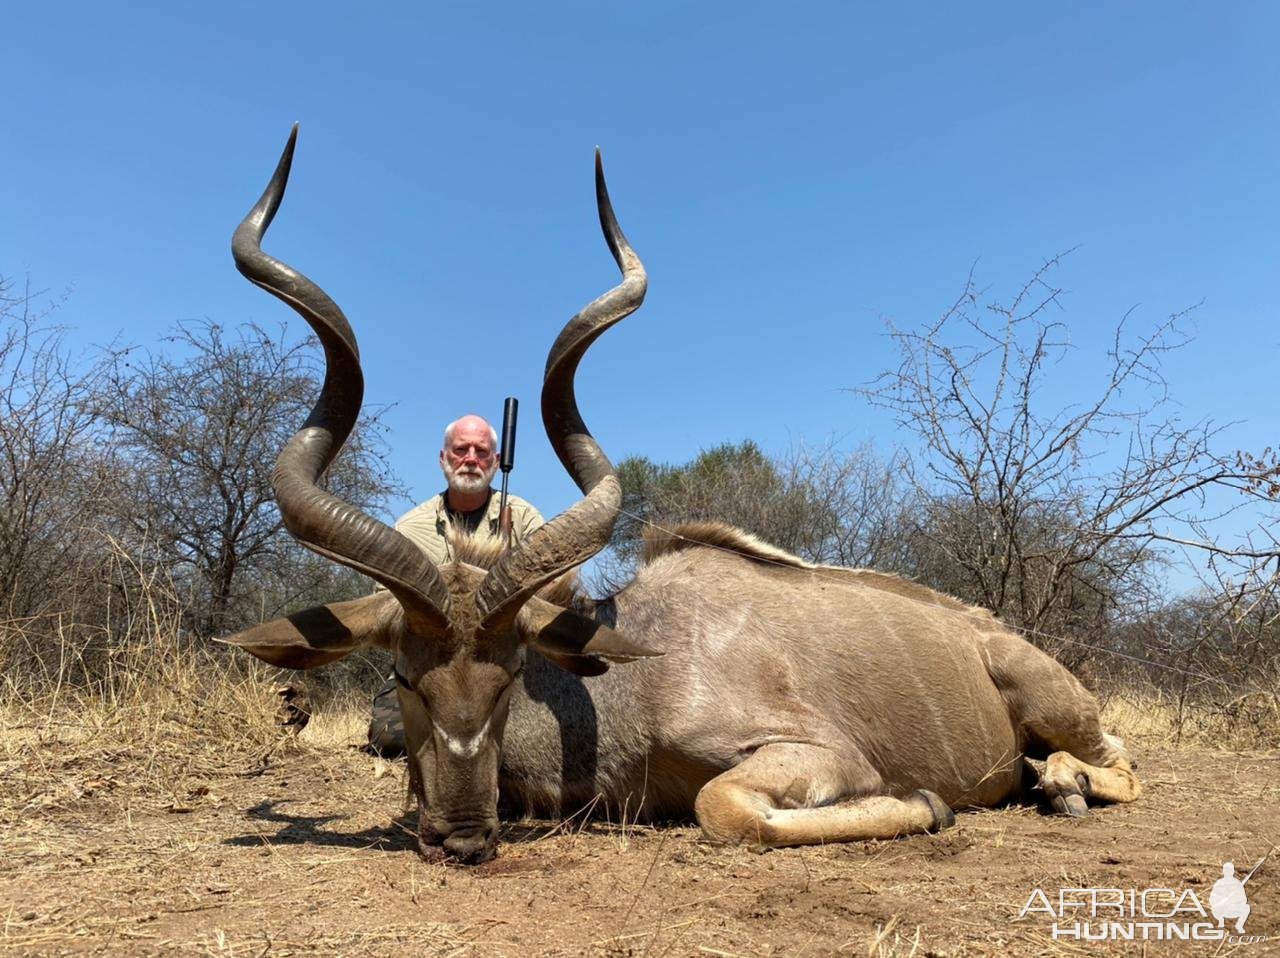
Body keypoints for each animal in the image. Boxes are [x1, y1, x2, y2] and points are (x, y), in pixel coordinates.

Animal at [222, 123, 1141, 865]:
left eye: (512, 674)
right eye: (403, 677)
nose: (462, 839)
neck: (633, 688)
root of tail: (986, 629)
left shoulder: (821, 754)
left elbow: (723, 804)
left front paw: (929, 803)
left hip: (1051, 697)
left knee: (1122, 759)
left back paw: (1063, 783)